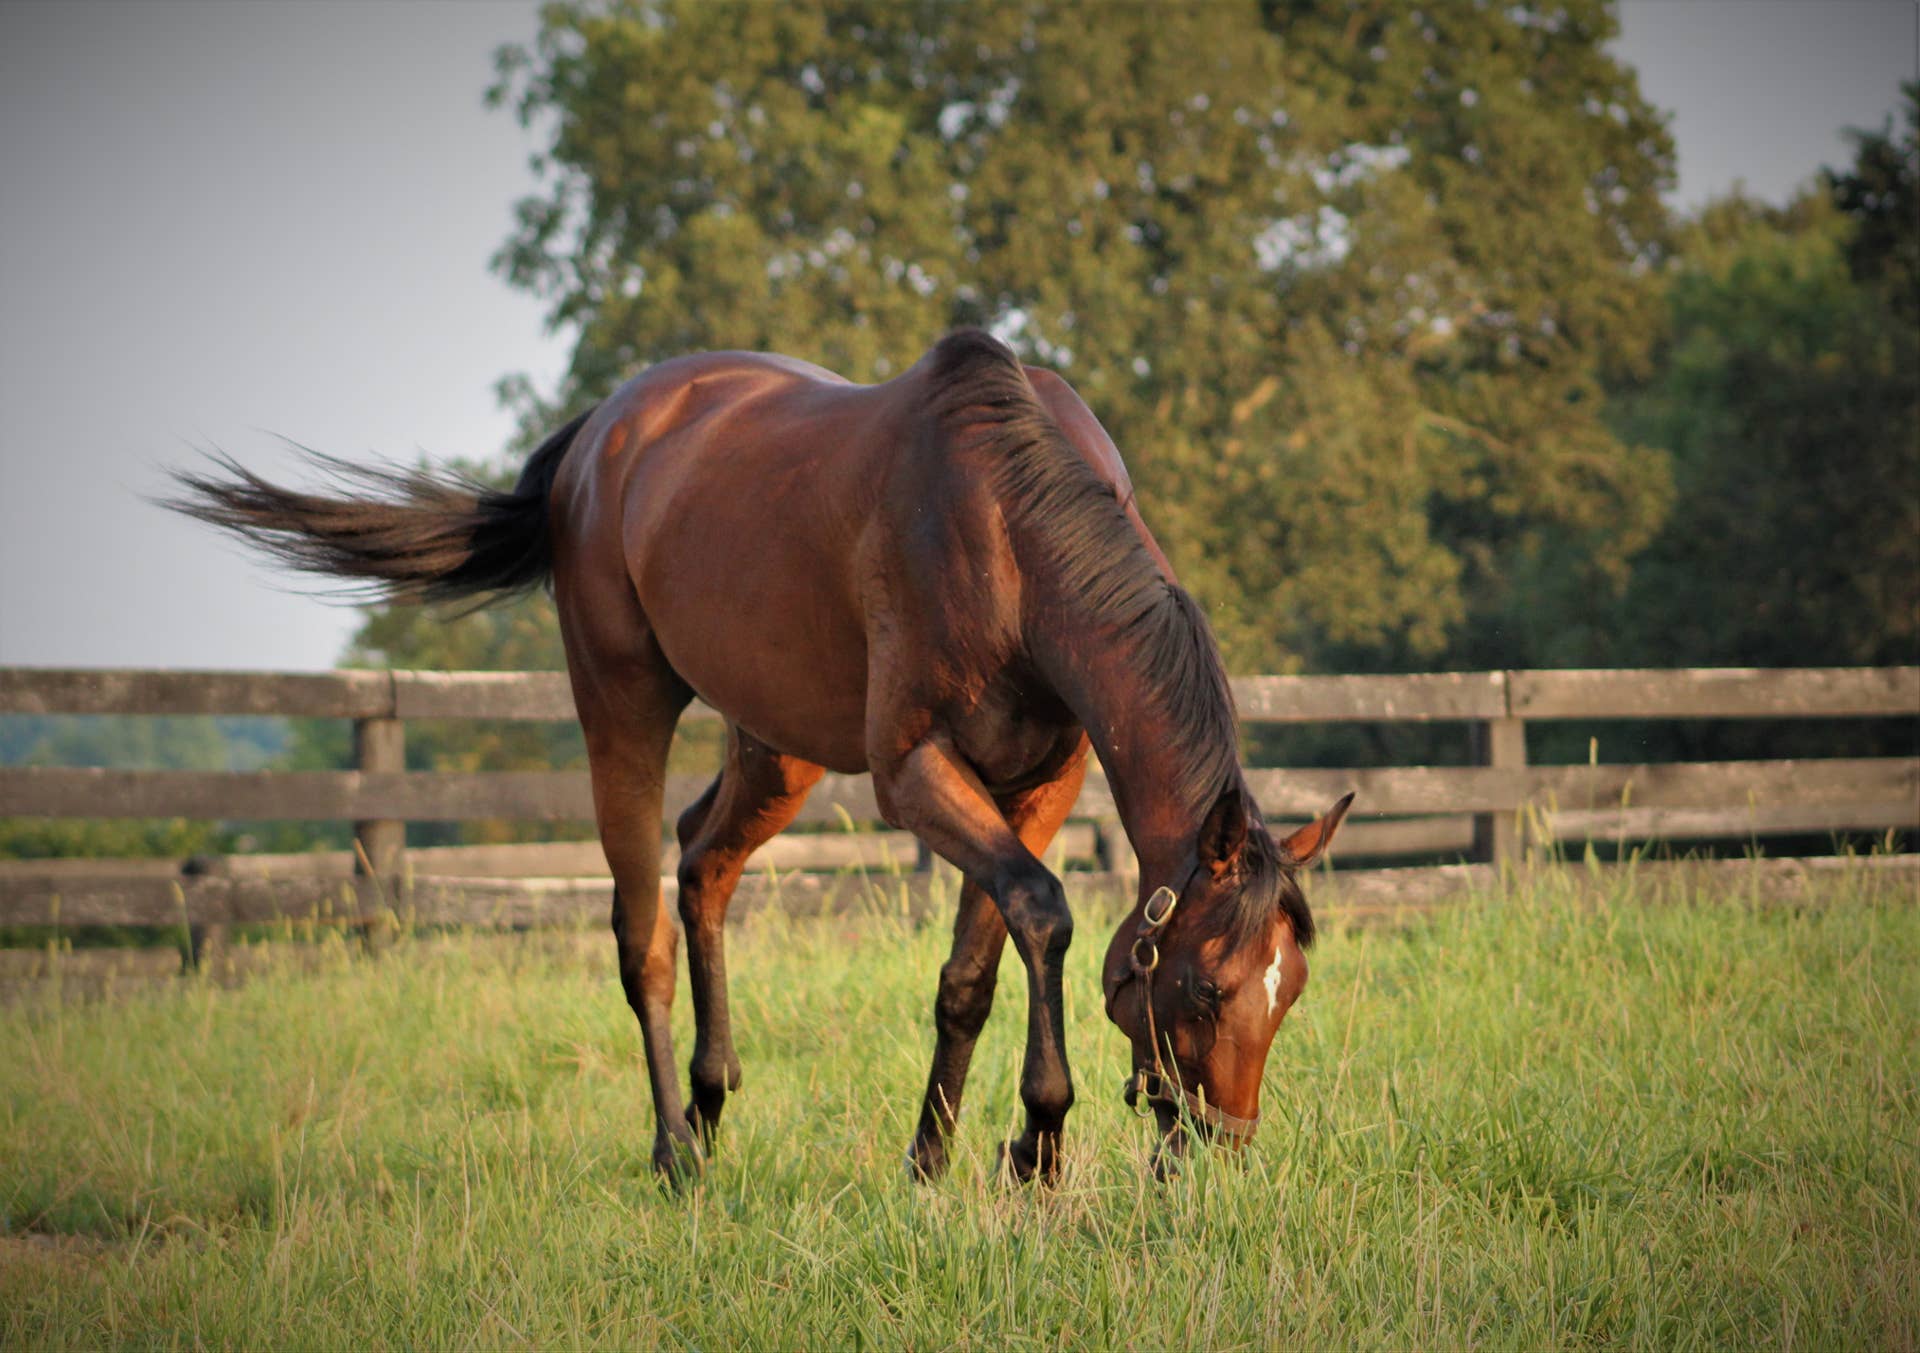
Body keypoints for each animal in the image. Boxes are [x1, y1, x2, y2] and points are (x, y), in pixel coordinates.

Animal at [168, 329, 1352, 1183]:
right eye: (1206, 988)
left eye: (1290, 991)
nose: (1216, 1153)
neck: (1008, 528)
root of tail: (604, 433)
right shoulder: (914, 773)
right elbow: (1046, 913)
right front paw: (1040, 1141)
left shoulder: (1037, 784)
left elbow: (977, 965)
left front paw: (941, 1157)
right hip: (622, 705)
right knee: (642, 928)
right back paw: (673, 1150)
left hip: (773, 749)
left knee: (704, 862)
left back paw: (711, 1099)